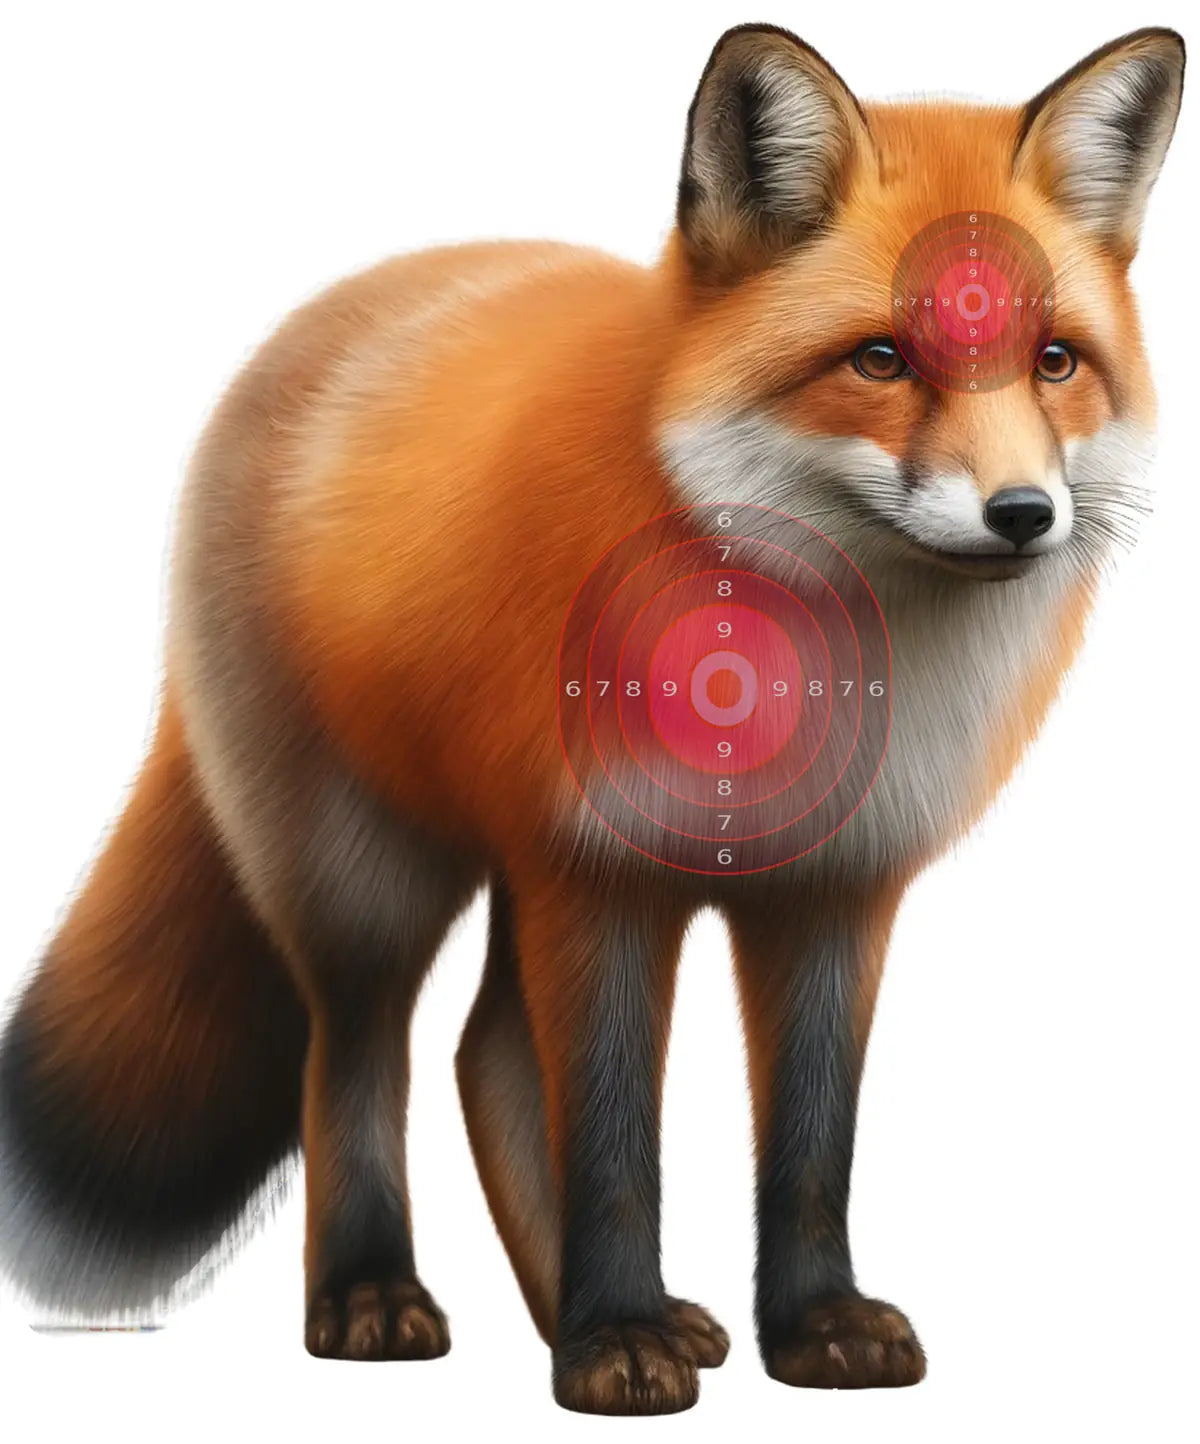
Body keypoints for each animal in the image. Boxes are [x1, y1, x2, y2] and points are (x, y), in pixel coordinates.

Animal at [0, 21, 1185, 1416]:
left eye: (1054, 361)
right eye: (881, 359)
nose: (1022, 515)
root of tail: (324, 314)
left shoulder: (836, 888)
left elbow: (812, 1142)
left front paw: (806, 1325)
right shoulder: (599, 870)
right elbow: (616, 1143)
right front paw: (611, 1342)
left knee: (488, 1055)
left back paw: (616, 1309)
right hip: (367, 878)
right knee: (358, 1062)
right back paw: (374, 1295)